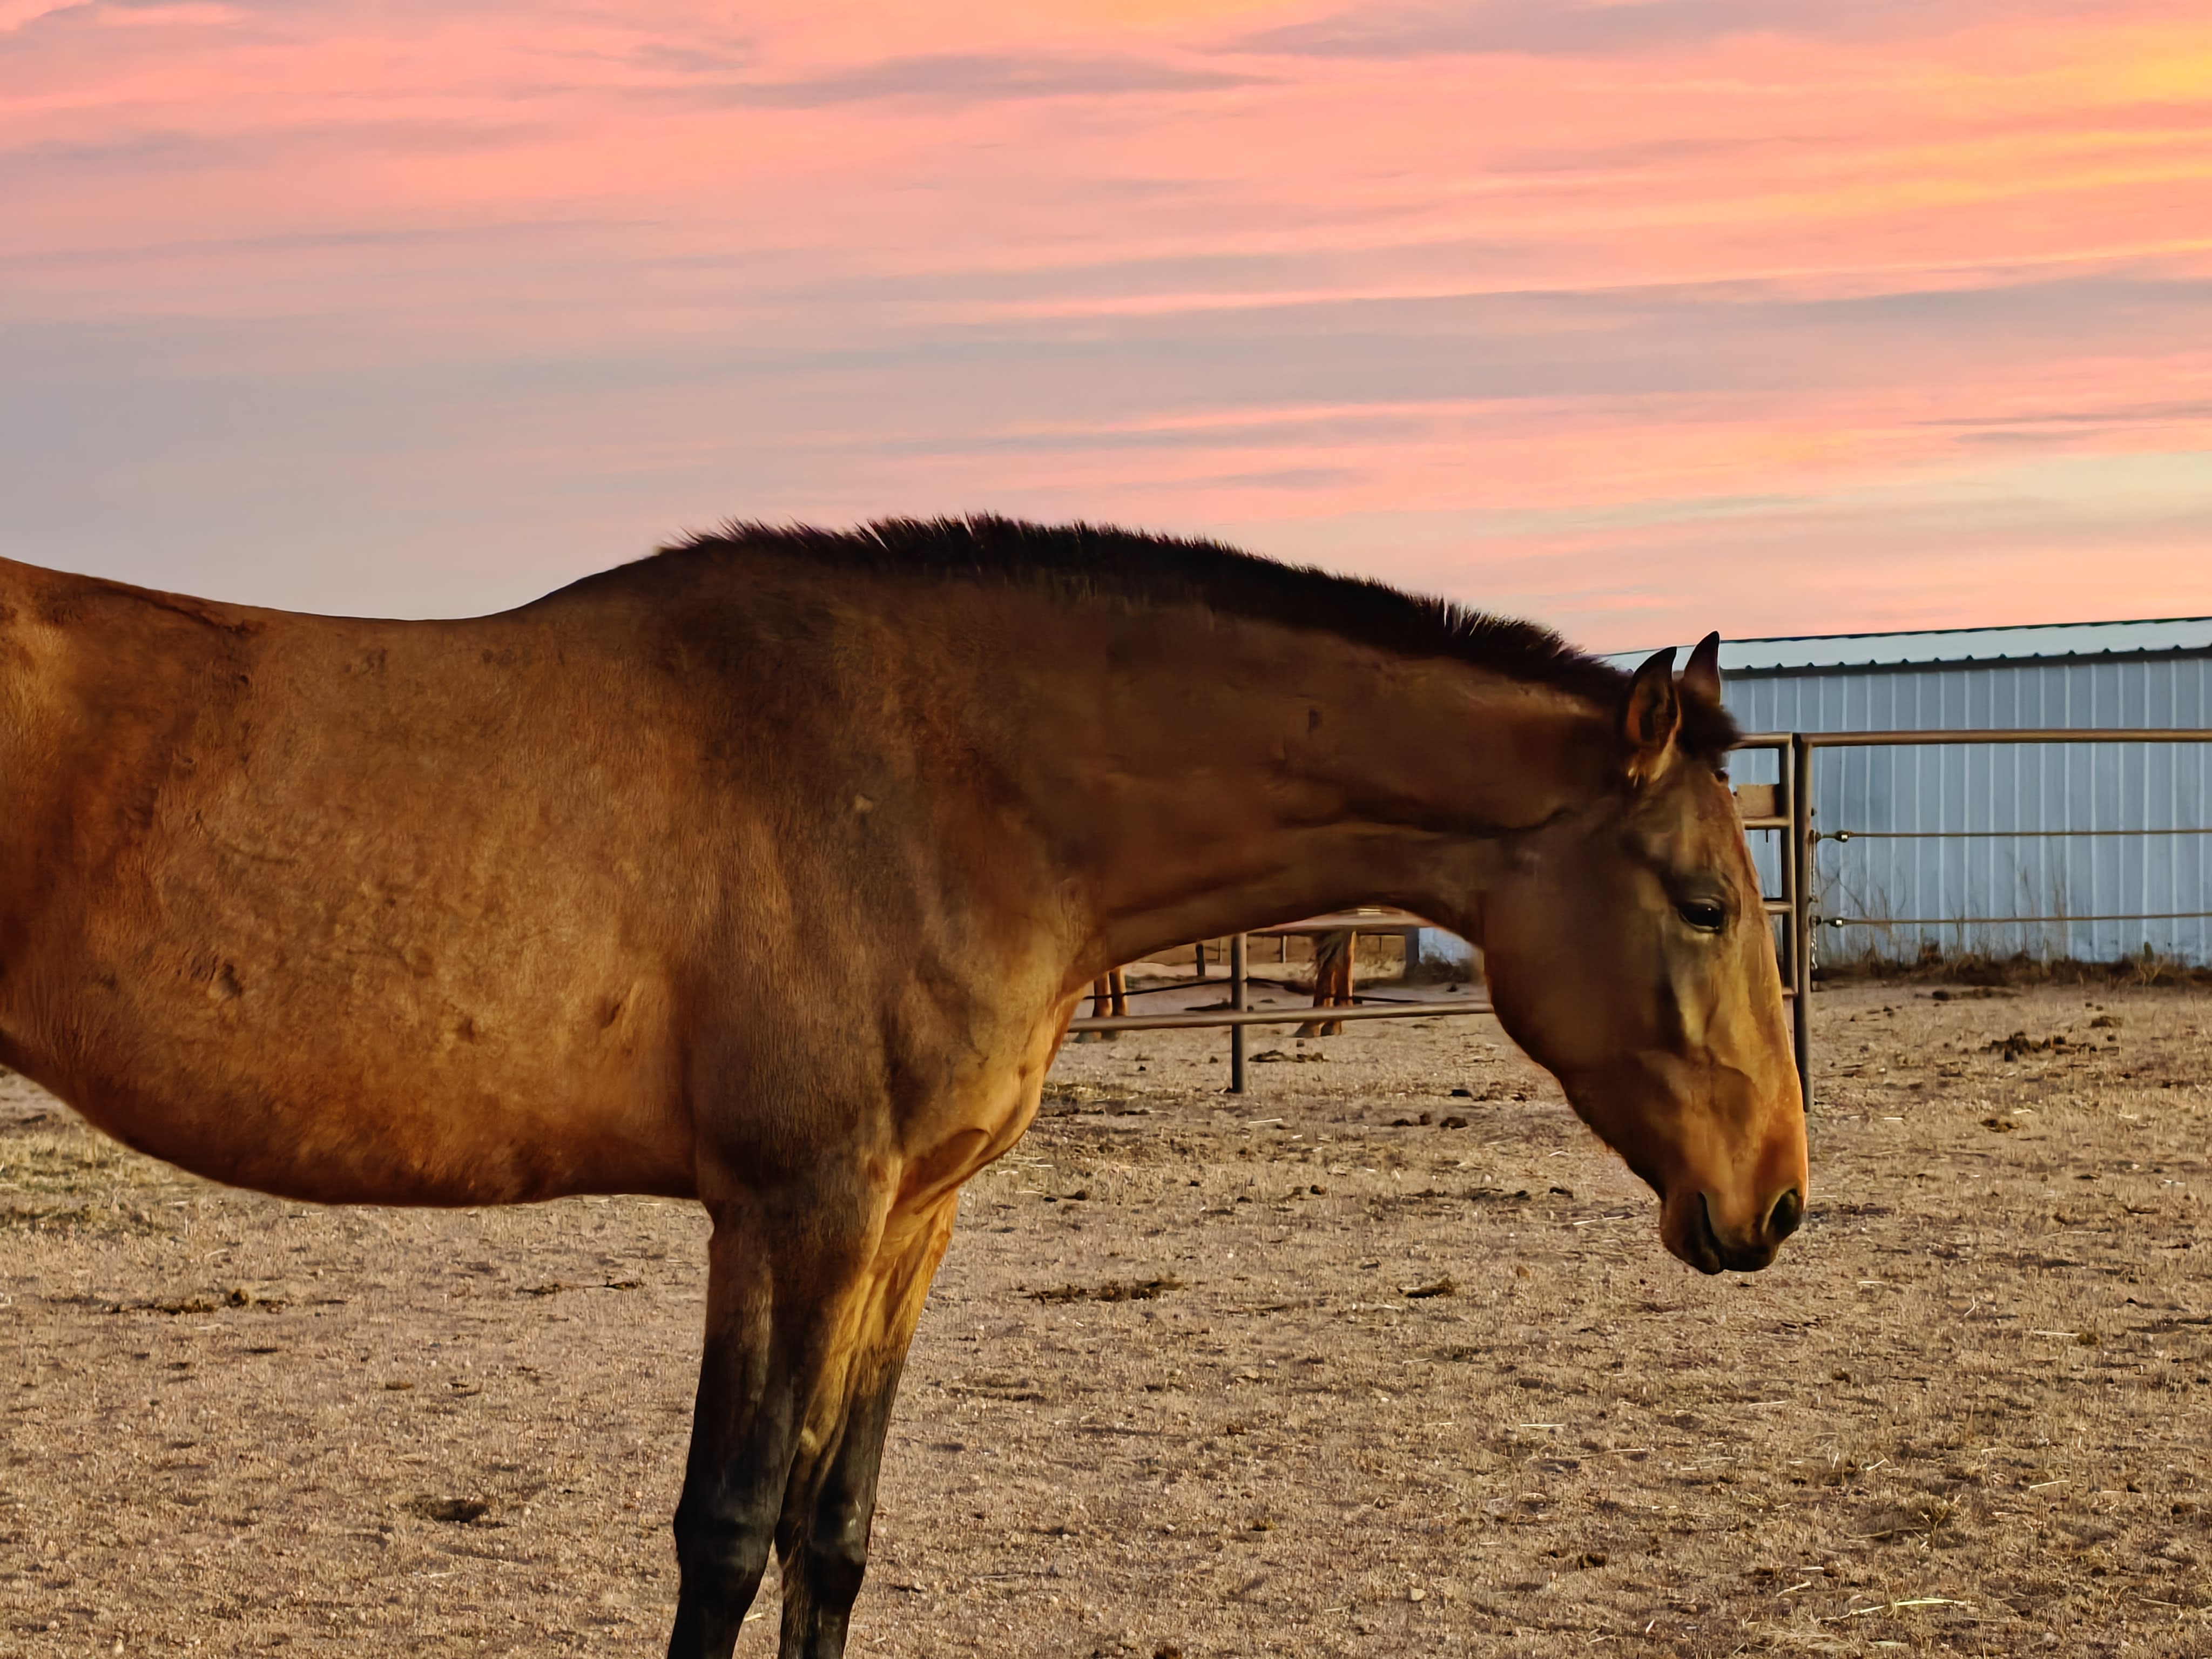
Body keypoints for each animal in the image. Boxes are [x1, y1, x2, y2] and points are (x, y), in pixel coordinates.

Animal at [0, 516, 1807, 1659]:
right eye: (1705, 903)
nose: (1776, 1200)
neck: (943, 779)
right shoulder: (795, 1209)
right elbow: (729, 1529)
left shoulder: (906, 1220)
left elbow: (833, 1530)